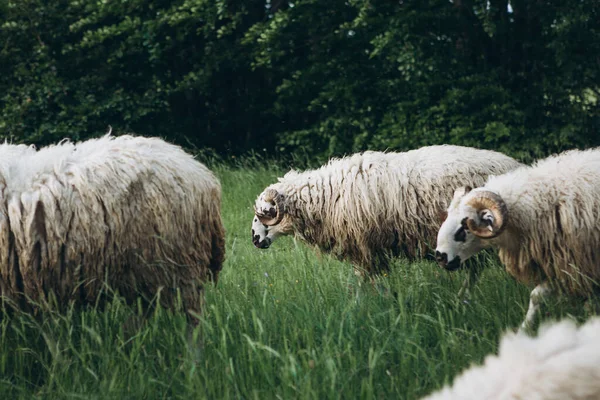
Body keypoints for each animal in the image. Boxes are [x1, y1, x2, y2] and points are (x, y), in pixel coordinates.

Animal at [436, 148, 600, 330]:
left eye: (465, 226)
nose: (440, 256)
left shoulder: (574, 263)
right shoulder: (561, 265)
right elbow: (536, 296)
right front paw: (525, 327)